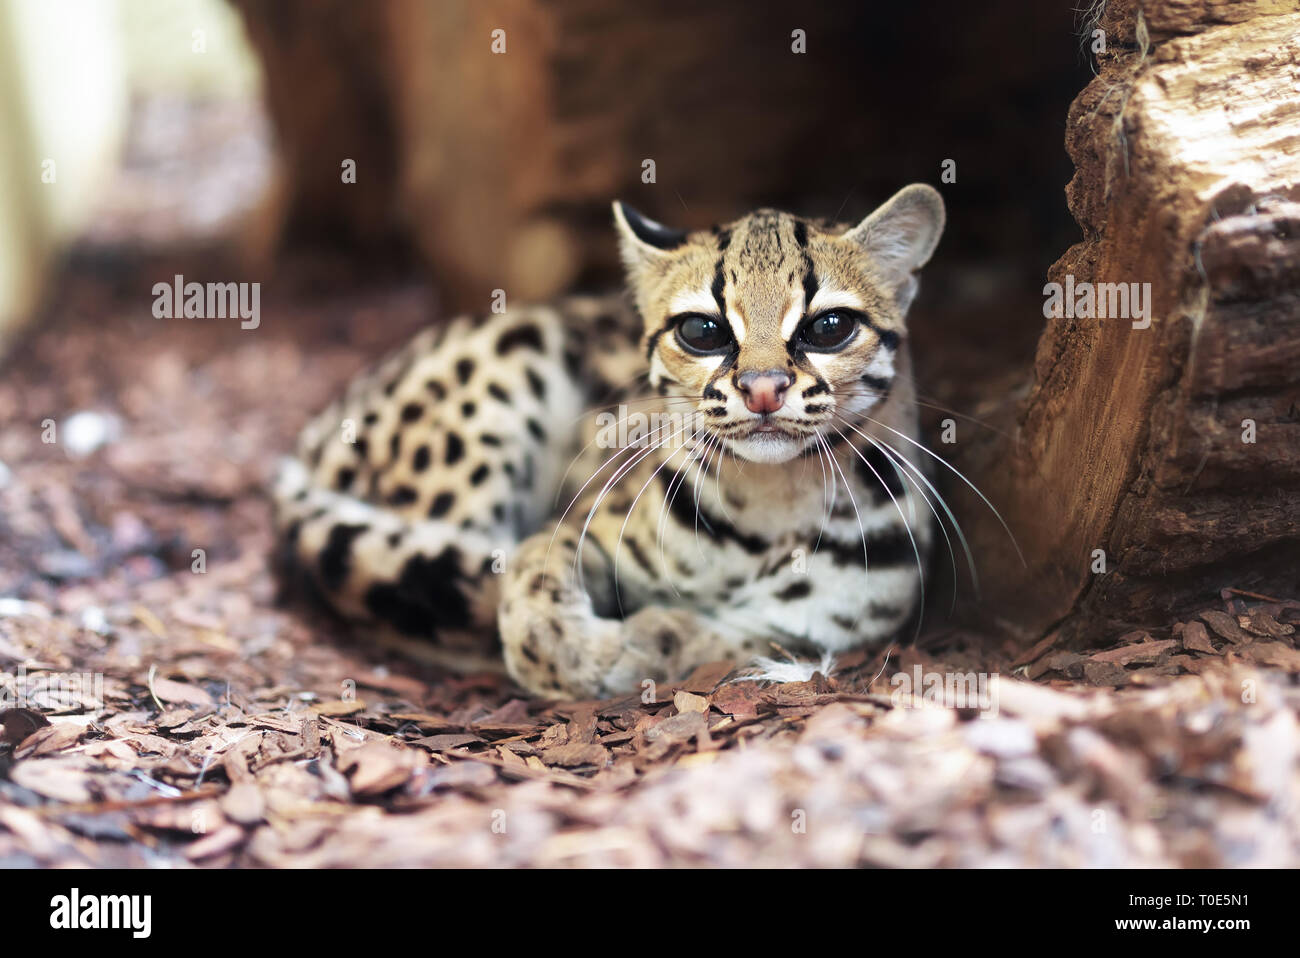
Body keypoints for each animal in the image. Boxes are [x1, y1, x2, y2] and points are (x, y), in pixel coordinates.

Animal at [274, 183, 946, 696]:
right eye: (702, 330)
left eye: (829, 326)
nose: (762, 389)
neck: (771, 500)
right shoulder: (586, 520)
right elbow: (533, 578)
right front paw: (591, 652)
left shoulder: (843, 618)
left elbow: (745, 635)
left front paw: (652, 638)